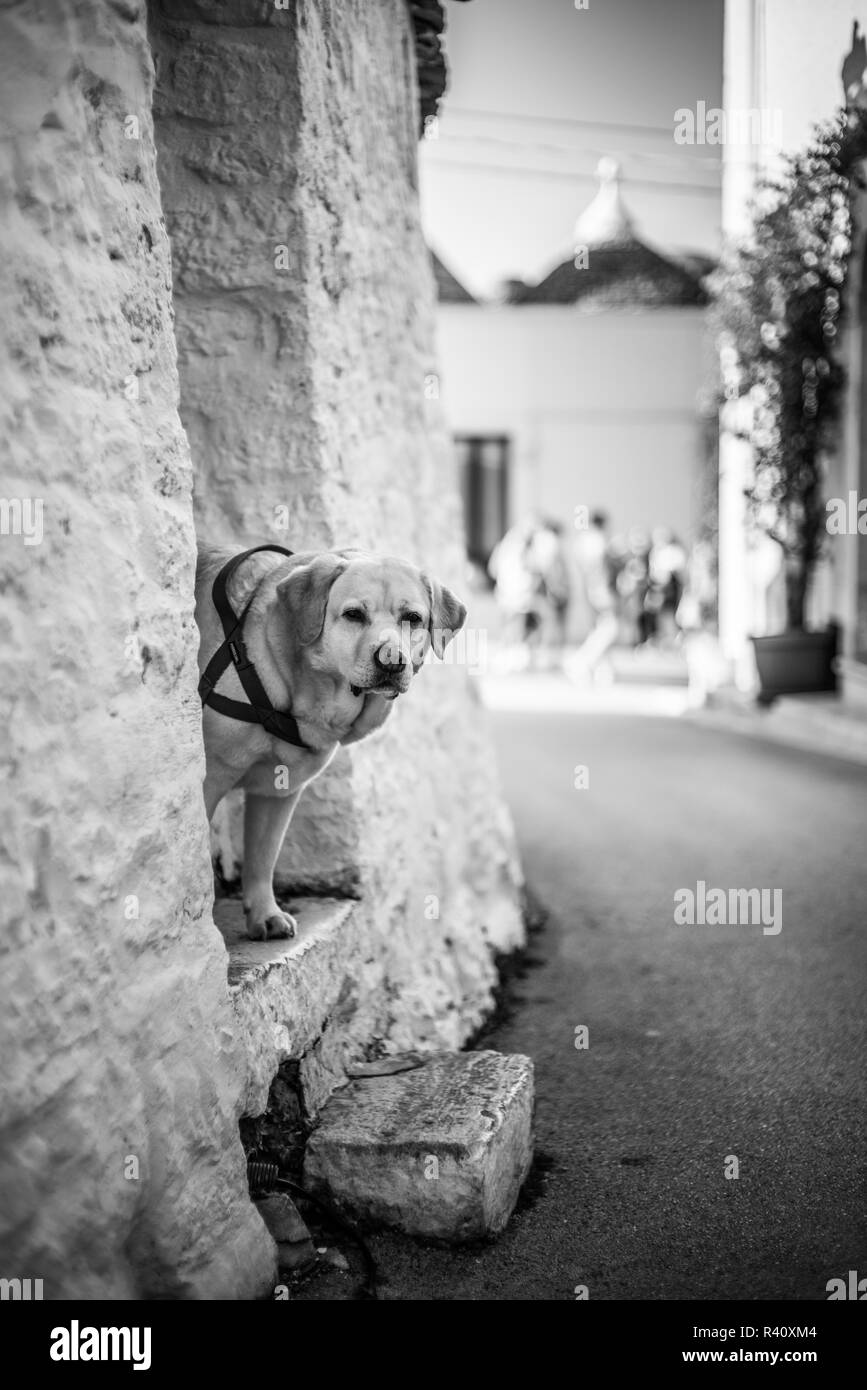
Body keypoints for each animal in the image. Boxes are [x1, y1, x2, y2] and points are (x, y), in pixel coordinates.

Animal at [195, 542, 466, 945]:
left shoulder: (277, 790)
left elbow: (263, 857)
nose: (392, 661)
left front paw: (265, 914)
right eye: (354, 614)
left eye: (412, 618)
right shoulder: (209, 780)